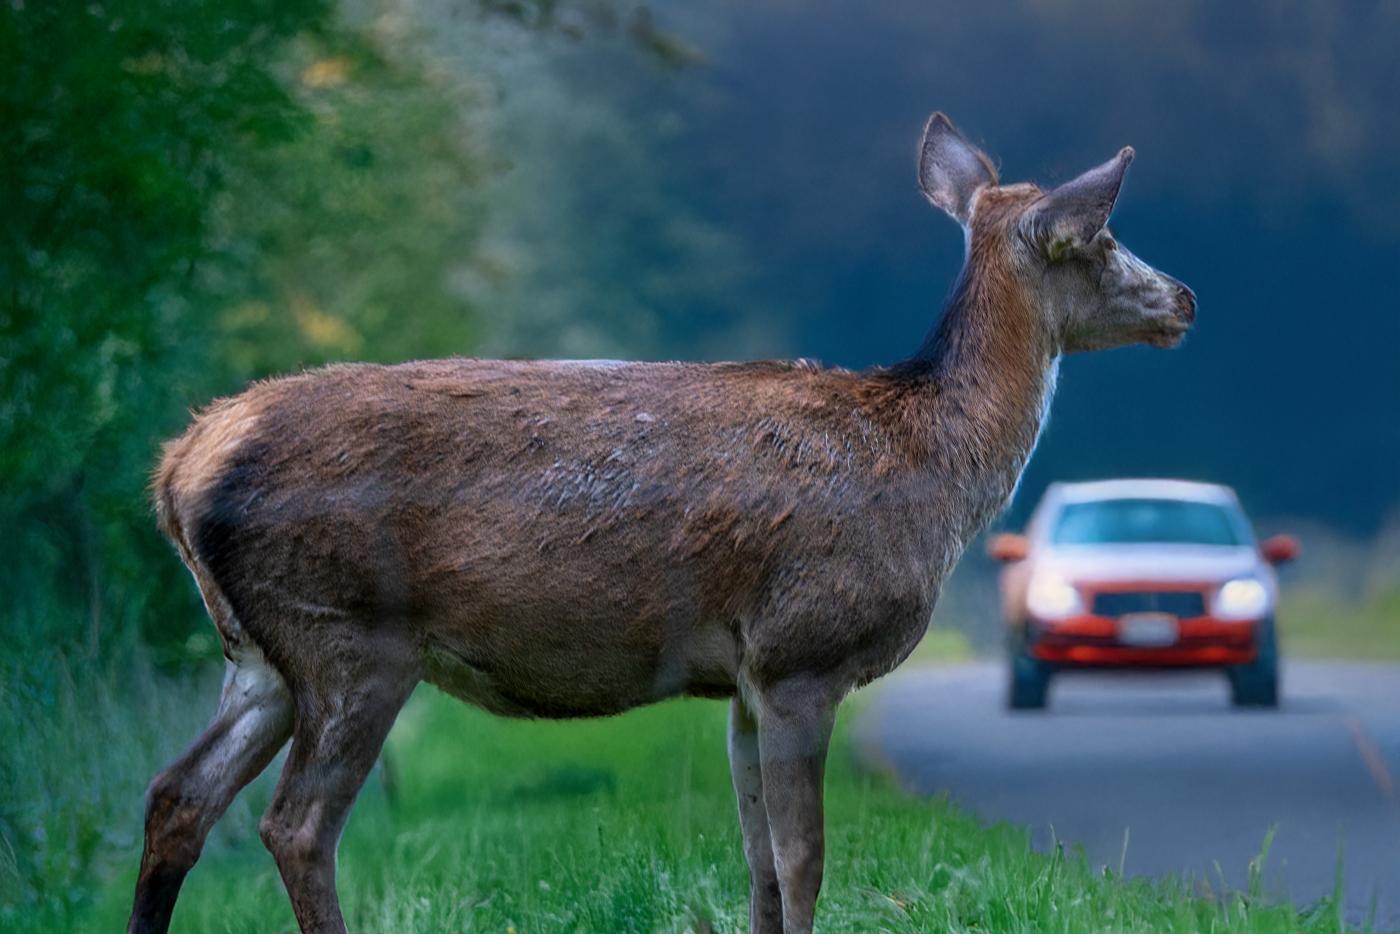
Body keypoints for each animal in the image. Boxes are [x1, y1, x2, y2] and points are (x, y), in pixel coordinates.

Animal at [128, 112, 1195, 934]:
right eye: (1099, 238)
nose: (1184, 296)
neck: (931, 474)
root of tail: (178, 470)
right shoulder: (806, 649)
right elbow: (804, 860)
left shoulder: (746, 678)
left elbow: (759, 860)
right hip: (350, 632)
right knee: (296, 826)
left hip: (260, 655)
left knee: (176, 796)